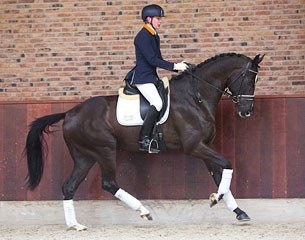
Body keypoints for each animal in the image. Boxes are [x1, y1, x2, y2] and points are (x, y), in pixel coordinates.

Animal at [25, 53, 264, 231]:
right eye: (248, 79)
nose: (246, 112)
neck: (196, 97)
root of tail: (70, 113)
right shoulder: (194, 146)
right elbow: (227, 164)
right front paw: (217, 198)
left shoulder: (205, 146)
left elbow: (219, 174)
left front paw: (238, 211)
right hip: (105, 150)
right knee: (109, 183)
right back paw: (144, 211)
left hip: (85, 156)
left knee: (69, 186)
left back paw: (75, 225)